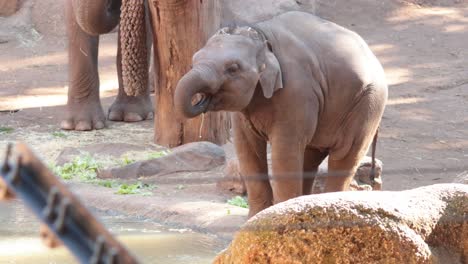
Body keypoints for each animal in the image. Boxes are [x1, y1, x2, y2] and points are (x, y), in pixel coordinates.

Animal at [174, 11, 386, 218]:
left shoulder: (297, 91)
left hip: (368, 104)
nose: (201, 99)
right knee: (310, 156)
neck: (262, 36)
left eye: (232, 69)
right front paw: (255, 218)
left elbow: (284, 153)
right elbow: (248, 150)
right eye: (194, 60)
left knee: (344, 155)